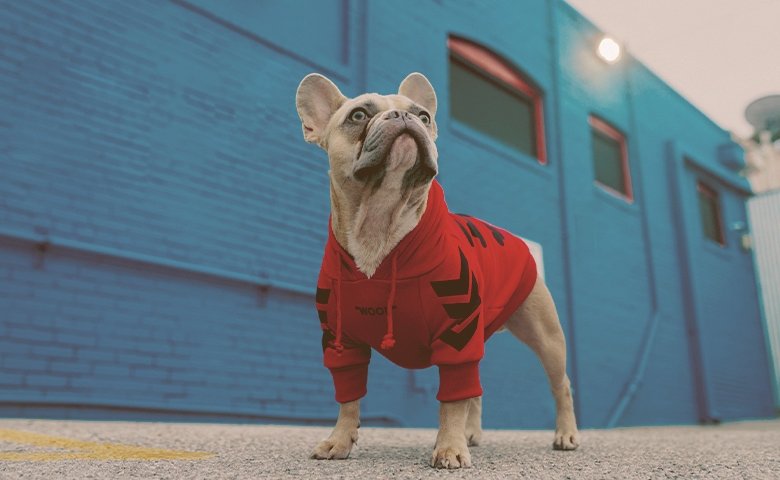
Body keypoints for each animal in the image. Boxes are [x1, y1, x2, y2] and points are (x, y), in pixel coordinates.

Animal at [296, 72, 576, 468]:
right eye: (358, 115)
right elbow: (347, 397)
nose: (403, 115)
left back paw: (566, 434)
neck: (380, 224)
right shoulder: (341, 342)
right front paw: (339, 440)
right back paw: (472, 434)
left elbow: (452, 400)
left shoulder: (457, 335)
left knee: (559, 385)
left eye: (423, 116)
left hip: (546, 336)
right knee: (476, 391)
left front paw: (449, 446)